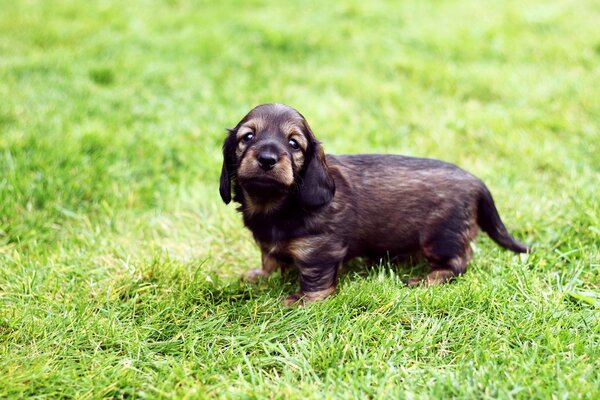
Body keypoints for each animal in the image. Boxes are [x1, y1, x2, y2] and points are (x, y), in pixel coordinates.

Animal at [218, 104, 528, 306]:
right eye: (247, 137)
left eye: (294, 143)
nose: (267, 158)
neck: (277, 205)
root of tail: (476, 181)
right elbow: (268, 258)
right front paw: (260, 276)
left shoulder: (319, 250)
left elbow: (315, 279)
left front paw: (304, 300)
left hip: (440, 238)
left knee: (459, 262)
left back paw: (426, 279)